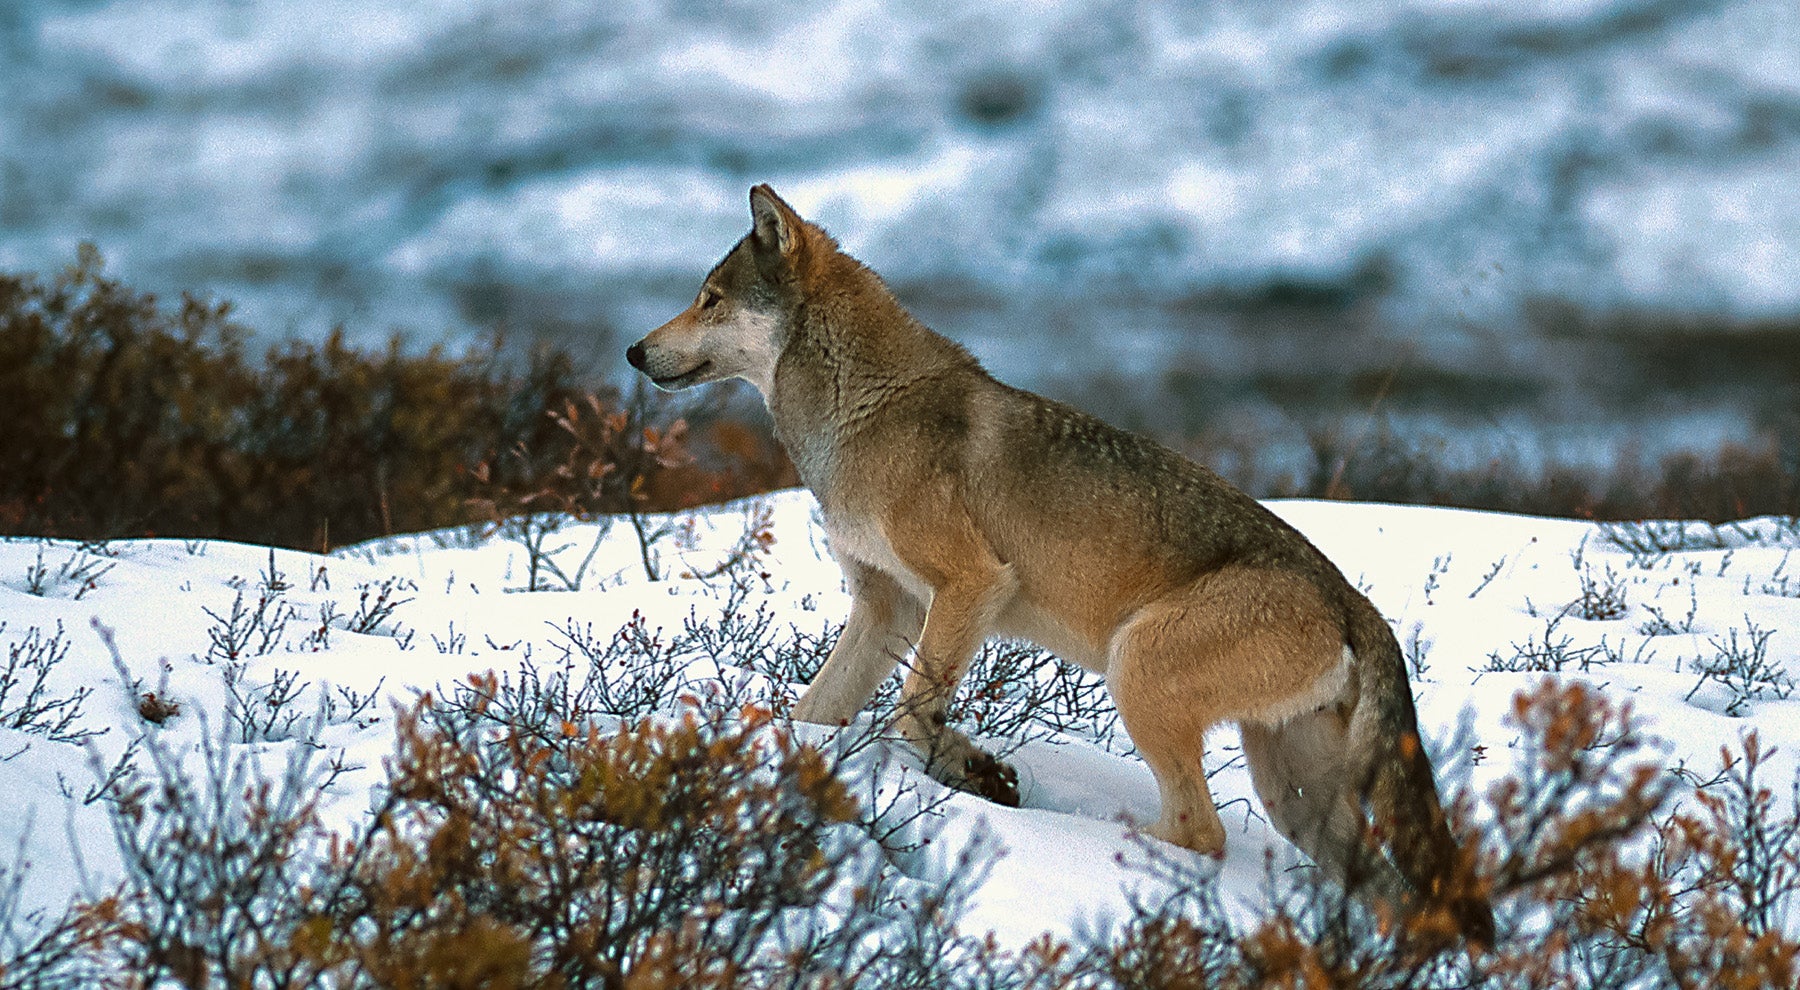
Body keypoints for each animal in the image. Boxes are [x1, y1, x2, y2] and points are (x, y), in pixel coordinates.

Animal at [626, 184, 1497, 950]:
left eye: (710, 299)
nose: (633, 350)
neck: (859, 413)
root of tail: (1357, 604)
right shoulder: (887, 609)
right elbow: (817, 712)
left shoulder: (971, 584)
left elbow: (910, 716)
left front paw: (978, 774)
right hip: (1295, 797)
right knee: (1375, 887)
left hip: (1137, 670)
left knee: (1202, 832)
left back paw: (1098, 847)